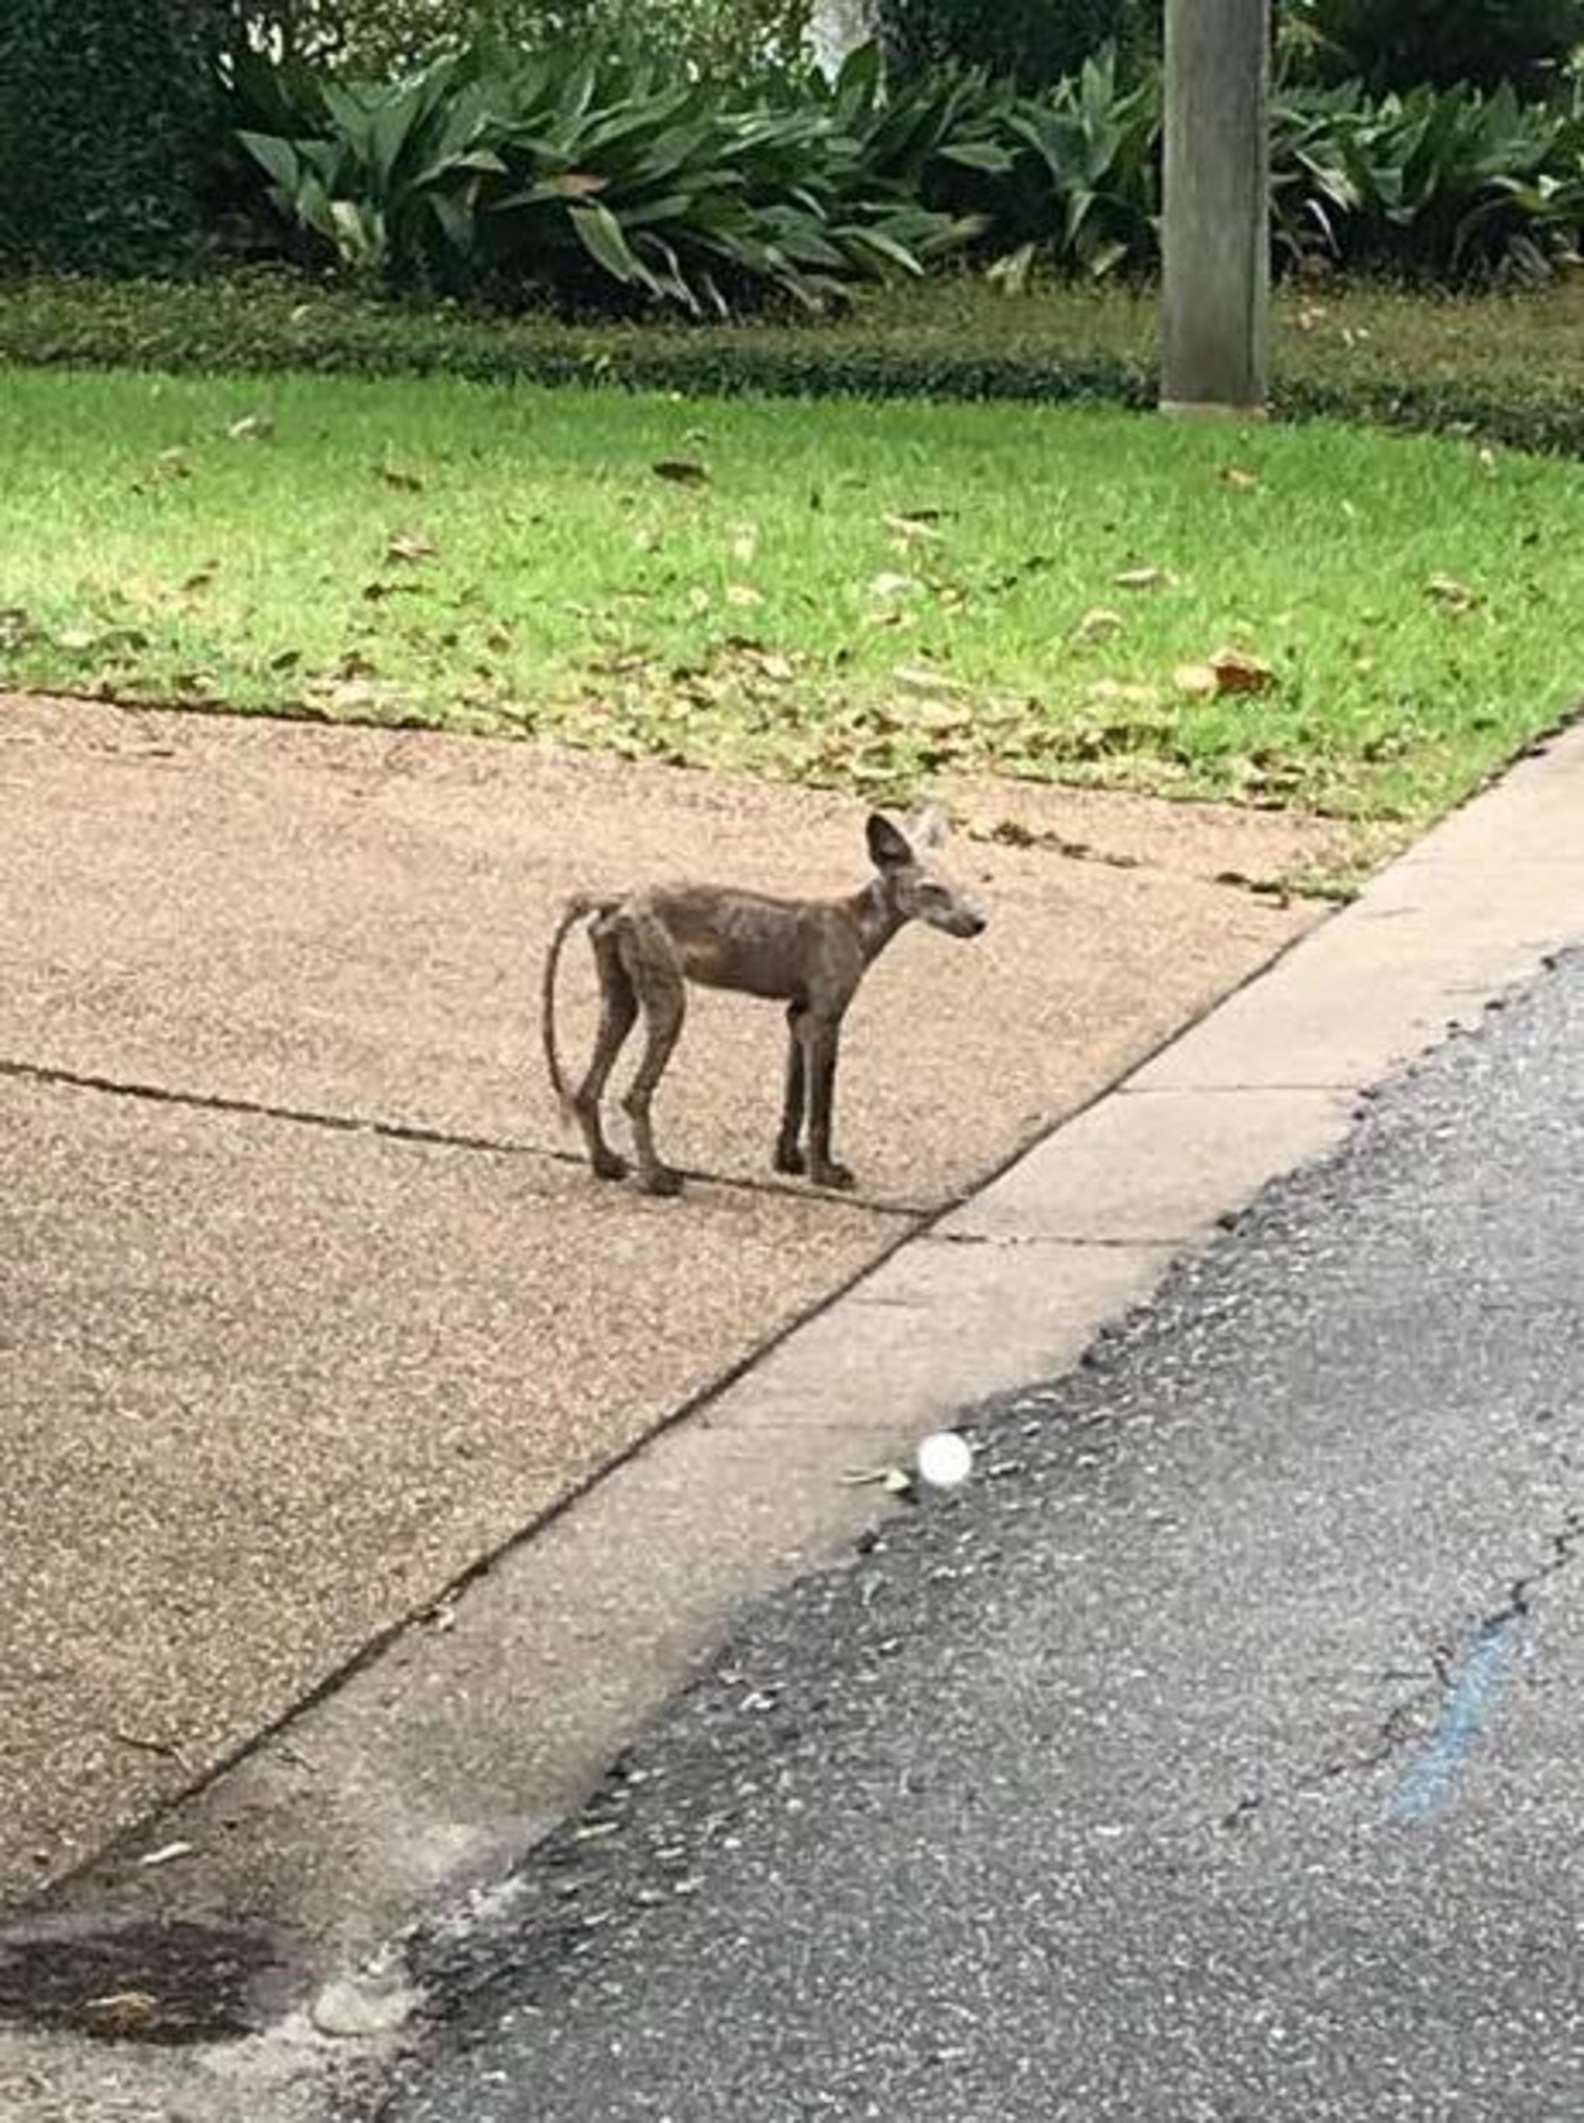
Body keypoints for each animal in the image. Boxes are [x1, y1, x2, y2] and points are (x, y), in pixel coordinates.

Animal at [543, 802, 985, 1197]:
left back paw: (606, 1164)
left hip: (623, 1002)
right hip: (670, 1003)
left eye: (962, 886)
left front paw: (788, 1162)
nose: (981, 923)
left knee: (585, 1092)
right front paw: (824, 1174)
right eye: (932, 890)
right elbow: (821, 1109)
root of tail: (618, 897)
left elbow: (794, 1100)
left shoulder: (798, 1015)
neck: (858, 926)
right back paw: (656, 1180)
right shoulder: (825, 1018)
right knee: (633, 1097)